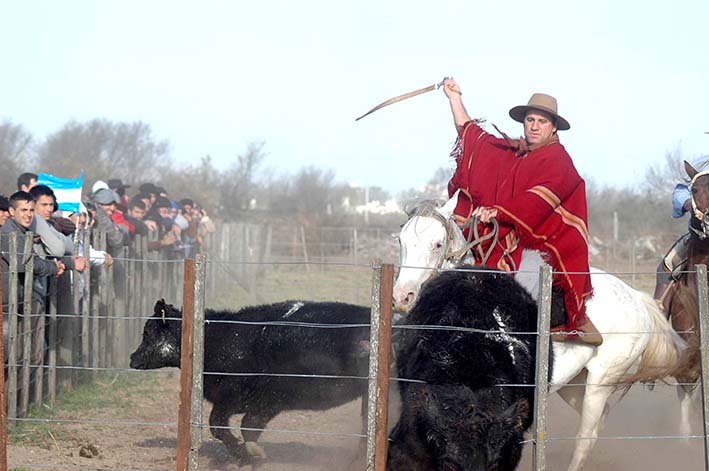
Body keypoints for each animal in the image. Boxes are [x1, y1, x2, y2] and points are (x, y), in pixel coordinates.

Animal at [130, 298, 370, 464]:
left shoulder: (232, 399)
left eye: (147, 332)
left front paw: (242, 452)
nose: (132, 358)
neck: (223, 339)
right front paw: (250, 455)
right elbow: (249, 429)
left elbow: (217, 425)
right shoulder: (265, 404)